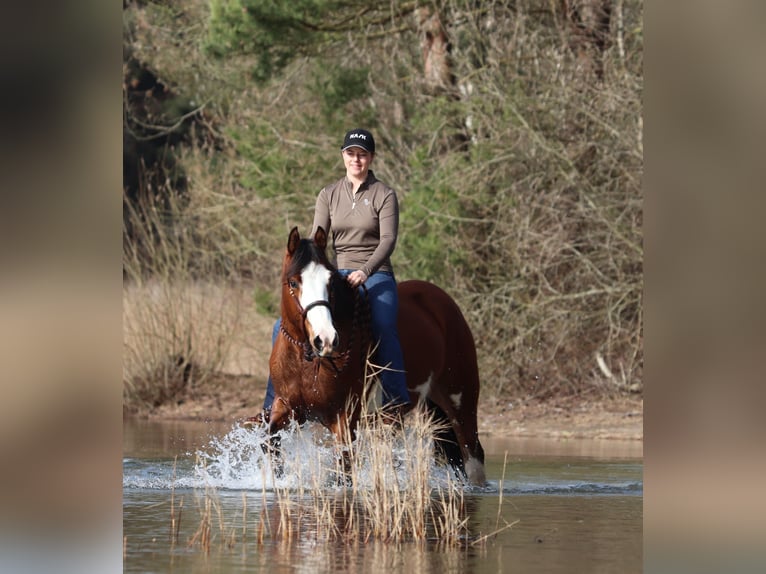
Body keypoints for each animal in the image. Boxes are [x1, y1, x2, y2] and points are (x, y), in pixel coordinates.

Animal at [265, 226, 486, 485]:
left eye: (330, 282)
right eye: (293, 282)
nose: (325, 339)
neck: (307, 362)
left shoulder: (344, 420)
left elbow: (344, 471)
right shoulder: (286, 407)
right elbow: (270, 441)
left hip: (460, 401)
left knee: (472, 454)